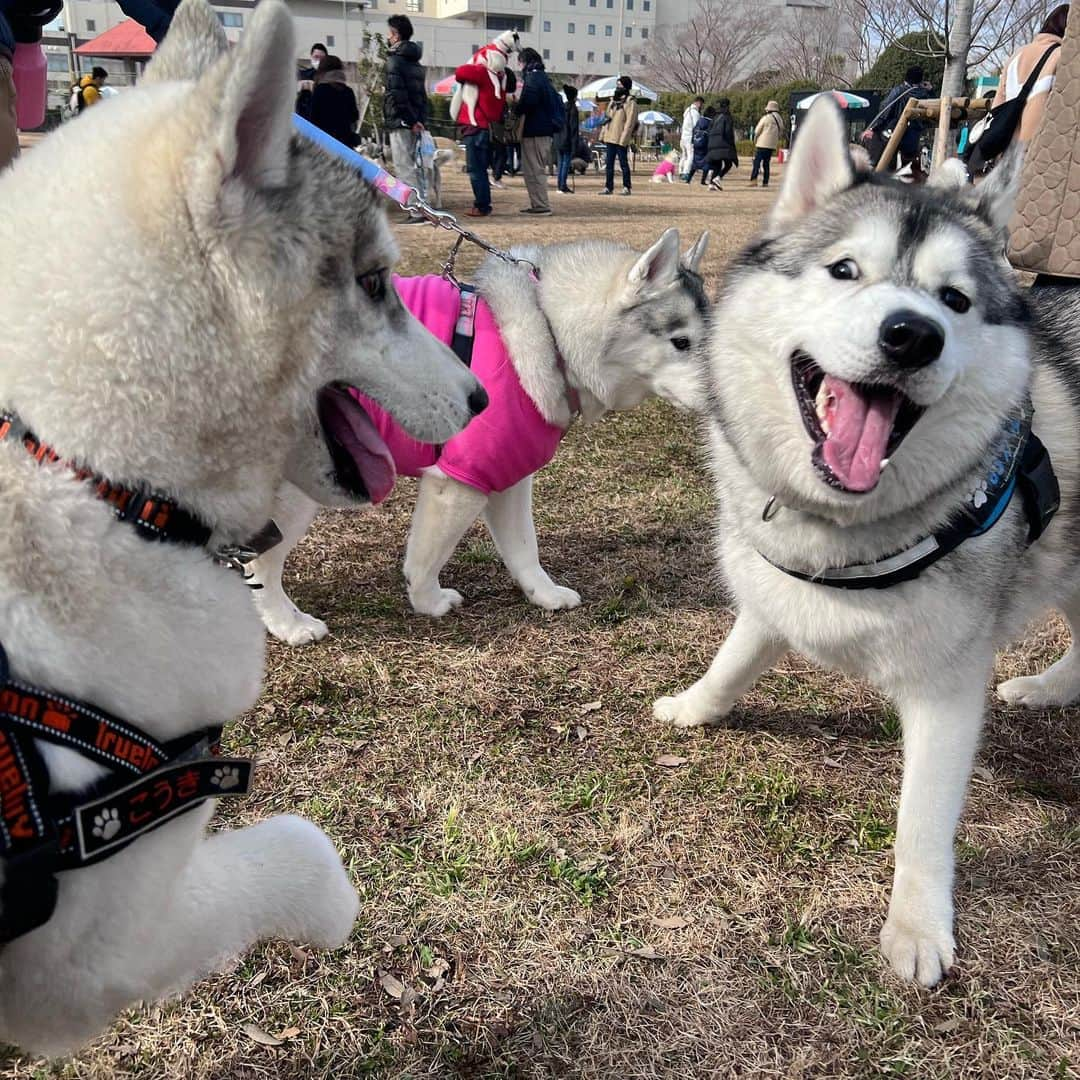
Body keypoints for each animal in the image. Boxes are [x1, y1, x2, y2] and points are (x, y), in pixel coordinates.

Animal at [0, 0, 481, 1054]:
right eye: (376, 282)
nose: (476, 398)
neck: (85, 472)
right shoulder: (94, 947)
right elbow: (302, 845)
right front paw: (339, 909)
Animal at [248, 231, 712, 639]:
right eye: (681, 342)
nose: (722, 397)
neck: (550, 329)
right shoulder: (457, 485)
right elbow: (425, 562)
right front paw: (428, 602)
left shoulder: (507, 476)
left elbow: (525, 549)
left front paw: (544, 595)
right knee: (261, 569)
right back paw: (288, 625)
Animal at [656, 101, 1071, 989]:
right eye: (844, 270)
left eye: (954, 300)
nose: (913, 335)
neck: (846, 526)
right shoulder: (773, 598)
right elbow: (733, 660)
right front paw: (696, 707)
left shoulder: (948, 691)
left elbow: (922, 822)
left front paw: (916, 927)